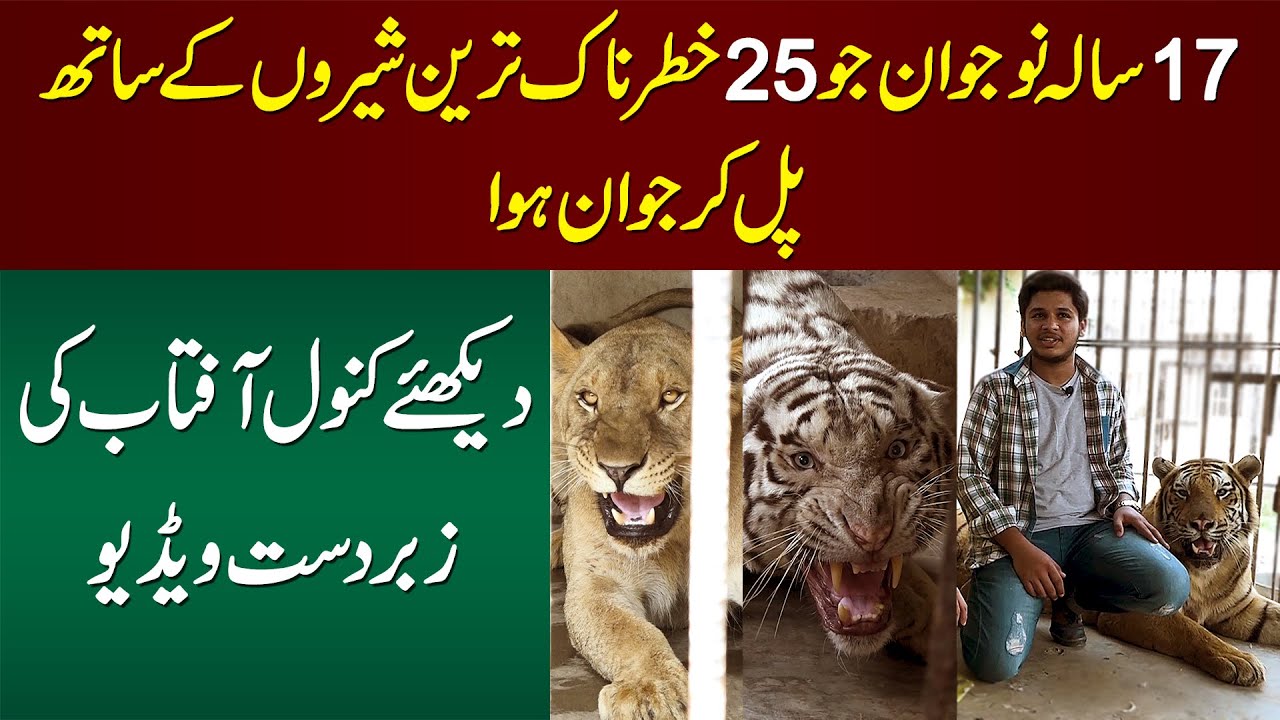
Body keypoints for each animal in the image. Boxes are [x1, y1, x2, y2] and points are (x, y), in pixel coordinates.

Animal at [552, 287, 744, 720]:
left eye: (671, 397)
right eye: (589, 399)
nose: (617, 468)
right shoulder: (596, 585)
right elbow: (631, 634)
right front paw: (651, 690)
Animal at [1092, 455, 1280, 686]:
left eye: (1221, 492)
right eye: (1183, 493)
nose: (1202, 523)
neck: (1207, 576)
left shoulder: (1244, 606)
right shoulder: (1136, 609)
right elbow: (1191, 630)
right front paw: (1238, 659)